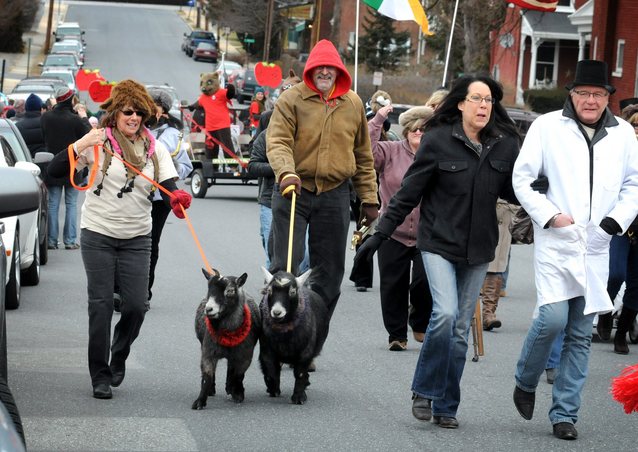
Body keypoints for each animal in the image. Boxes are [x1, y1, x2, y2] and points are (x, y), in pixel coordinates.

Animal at [191, 268, 262, 410]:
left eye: (230, 291)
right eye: (209, 288)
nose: (209, 309)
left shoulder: (245, 356)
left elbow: (238, 375)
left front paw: (237, 394)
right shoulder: (208, 351)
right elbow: (207, 375)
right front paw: (200, 401)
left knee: (231, 368)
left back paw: (230, 387)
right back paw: (212, 390)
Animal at [260, 266, 330, 404]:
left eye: (292, 292)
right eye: (269, 290)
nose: (277, 312)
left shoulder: (305, 352)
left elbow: (300, 373)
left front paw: (299, 397)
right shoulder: (267, 350)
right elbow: (271, 371)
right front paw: (273, 389)